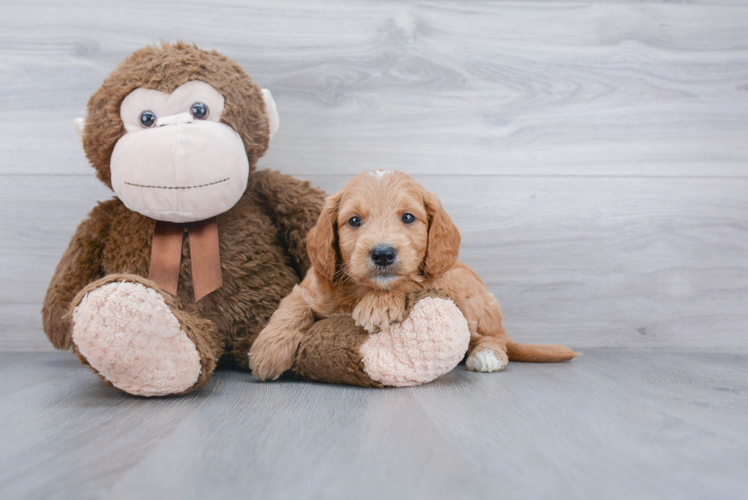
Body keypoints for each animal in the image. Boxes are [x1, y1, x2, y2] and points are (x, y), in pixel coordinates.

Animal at [251, 170, 580, 380]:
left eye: (408, 217)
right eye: (354, 221)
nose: (383, 254)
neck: (361, 289)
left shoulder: (433, 277)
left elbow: (411, 280)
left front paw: (379, 304)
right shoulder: (309, 286)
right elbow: (291, 308)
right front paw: (267, 352)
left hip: (471, 300)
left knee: (493, 337)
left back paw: (487, 356)